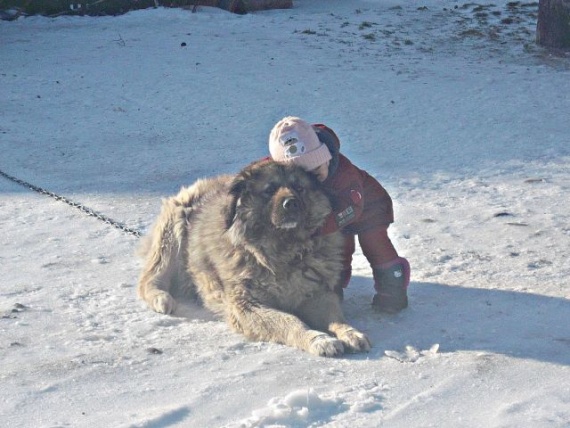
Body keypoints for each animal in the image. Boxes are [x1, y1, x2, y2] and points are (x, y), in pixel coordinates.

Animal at [136, 159, 368, 356]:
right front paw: (319, 340)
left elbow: (334, 315)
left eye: (299, 188)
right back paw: (161, 298)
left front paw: (349, 332)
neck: (284, 250)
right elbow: (289, 320)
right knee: (149, 278)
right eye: (269, 190)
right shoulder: (247, 305)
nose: (291, 203)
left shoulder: (316, 292)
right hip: (173, 231)